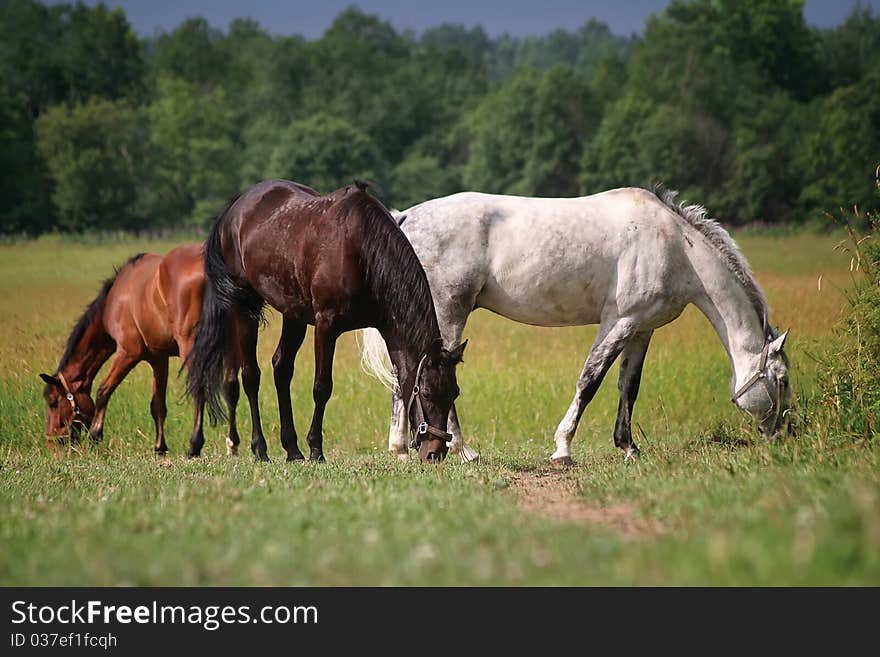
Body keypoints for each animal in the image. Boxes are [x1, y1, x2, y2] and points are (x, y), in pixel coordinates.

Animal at [38, 242, 264, 456]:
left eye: (53, 402)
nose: (51, 442)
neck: (117, 297)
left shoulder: (127, 353)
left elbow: (104, 390)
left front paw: (95, 435)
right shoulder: (159, 358)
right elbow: (158, 405)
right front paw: (159, 447)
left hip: (191, 347)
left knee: (199, 389)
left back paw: (194, 445)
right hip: (233, 343)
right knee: (231, 386)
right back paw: (232, 445)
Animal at [182, 179, 464, 464]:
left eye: (454, 393)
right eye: (426, 393)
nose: (435, 453)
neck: (361, 251)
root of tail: (235, 208)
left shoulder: (389, 332)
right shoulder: (326, 326)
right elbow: (322, 387)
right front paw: (316, 449)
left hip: (293, 314)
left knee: (281, 369)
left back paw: (292, 449)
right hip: (245, 307)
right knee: (251, 375)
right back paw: (260, 448)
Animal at [360, 184, 796, 464]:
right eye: (783, 380)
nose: (787, 434)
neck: (675, 246)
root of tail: (404, 218)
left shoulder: (642, 328)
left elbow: (628, 387)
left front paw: (628, 447)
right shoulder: (618, 322)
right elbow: (589, 381)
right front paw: (563, 448)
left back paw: (401, 449)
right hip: (448, 314)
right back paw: (464, 451)